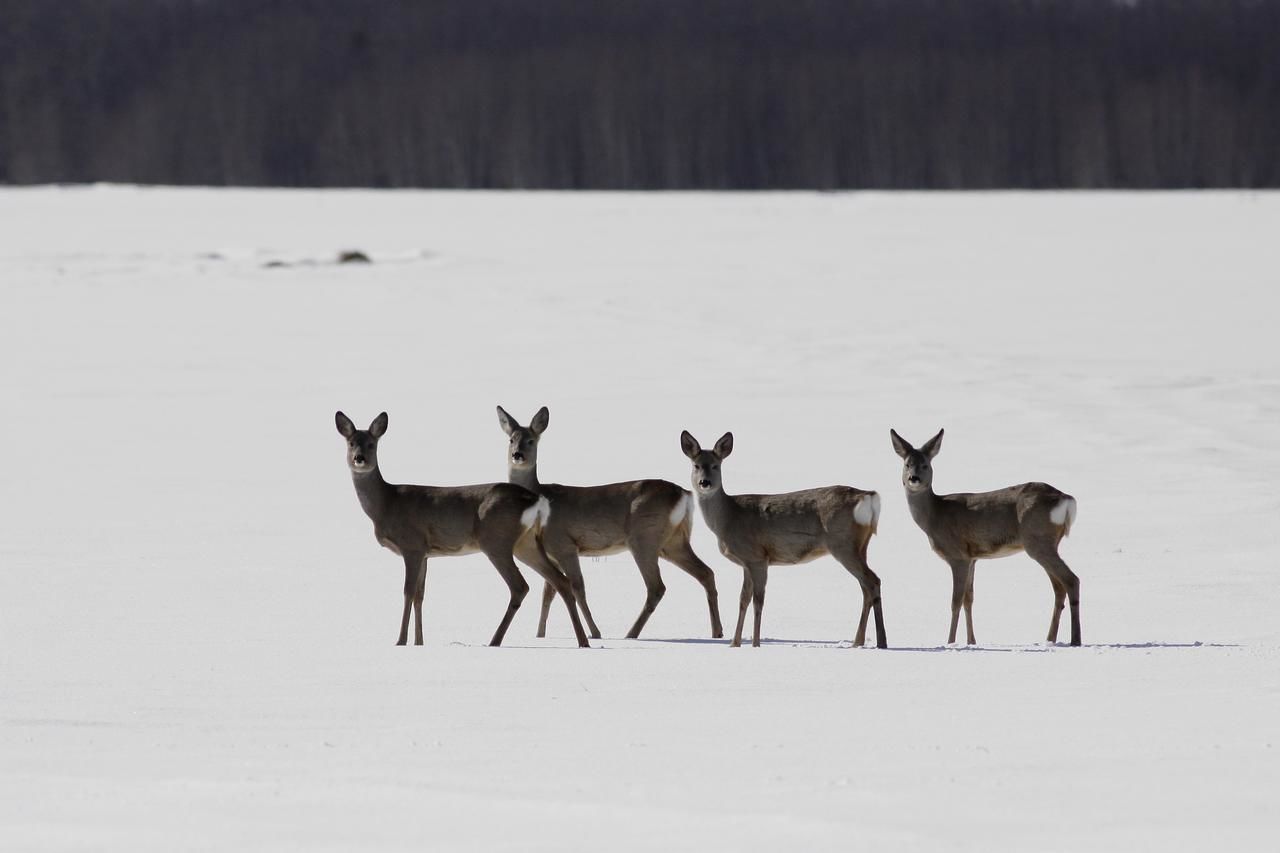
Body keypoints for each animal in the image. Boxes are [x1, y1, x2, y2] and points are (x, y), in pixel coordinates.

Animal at [330, 409, 588, 645]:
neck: (386, 504)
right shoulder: (426, 552)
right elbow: (420, 595)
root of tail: (534, 498)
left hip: (496, 540)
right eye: (351, 443)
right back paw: (583, 642)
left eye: (372, 444)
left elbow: (407, 592)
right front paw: (419, 642)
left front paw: (400, 641)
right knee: (561, 581)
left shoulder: (412, 545)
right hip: (526, 543)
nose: (359, 458)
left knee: (520, 586)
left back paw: (494, 641)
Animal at [496, 404, 727, 637]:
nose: (517, 455)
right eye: (511, 439)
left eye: (531, 440)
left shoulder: (564, 544)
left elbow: (576, 587)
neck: (541, 495)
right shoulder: (551, 552)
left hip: (644, 537)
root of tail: (684, 494)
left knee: (657, 587)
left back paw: (630, 635)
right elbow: (549, 592)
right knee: (706, 573)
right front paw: (540, 635)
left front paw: (595, 632)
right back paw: (717, 632)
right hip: (674, 541)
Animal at [680, 427, 880, 648]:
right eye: (696, 465)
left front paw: (755, 644)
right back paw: (863, 641)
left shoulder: (757, 557)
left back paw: (874, 641)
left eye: (716, 465)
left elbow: (758, 601)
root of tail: (867, 496)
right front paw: (735, 643)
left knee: (872, 581)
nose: (704, 482)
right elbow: (743, 600)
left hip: (843, 544)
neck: (729, 518)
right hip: (860, 546)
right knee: (867, 586)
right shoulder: (747, 562)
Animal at [890, 427, 1080, 640]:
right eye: (907, 464)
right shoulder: (973, 557)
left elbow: (955, 602)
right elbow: (969, 599)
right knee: (1059, 588)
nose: (913, 478)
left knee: (1072, 580)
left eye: (925, 464)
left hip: (1037, 540)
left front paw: (950, 642)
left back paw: (1075, 639)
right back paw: (1050, 639)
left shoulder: (958, 555)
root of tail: (1066, 499)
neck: (934, 516)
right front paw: (971, 641)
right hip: (1047, 542)